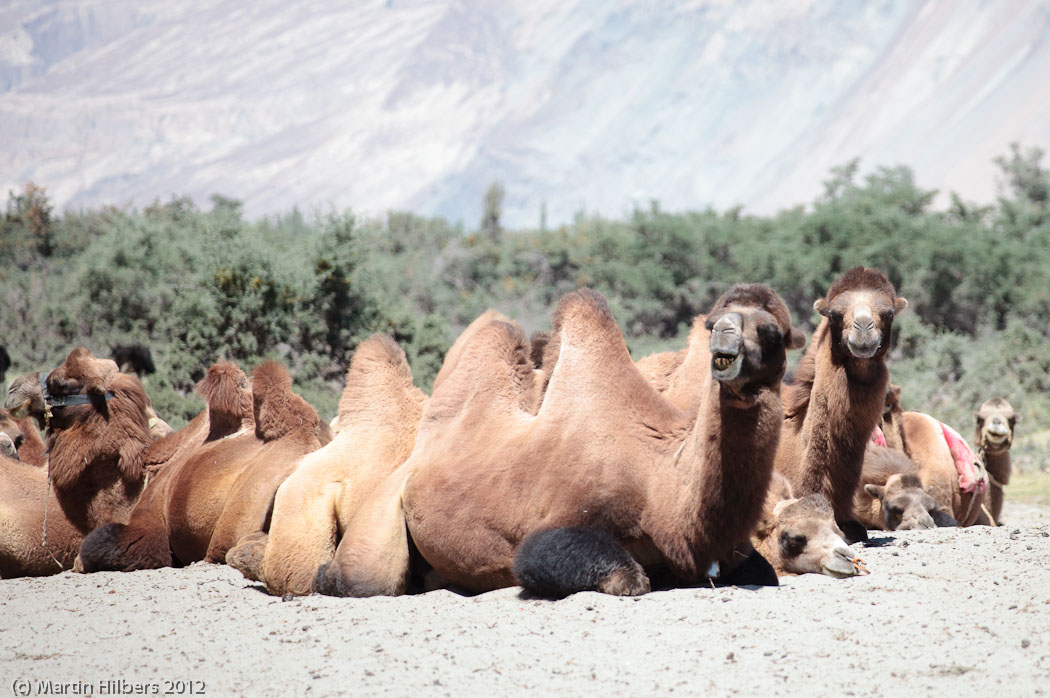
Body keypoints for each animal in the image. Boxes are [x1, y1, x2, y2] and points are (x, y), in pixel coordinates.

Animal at [314, 285, 806, 598]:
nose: (725, 335)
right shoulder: (561, 519)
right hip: (383, 510)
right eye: (715, 323)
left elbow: (765, 570)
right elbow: (607, 572)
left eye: (771, 332)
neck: (660, 483)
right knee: (366, 580)